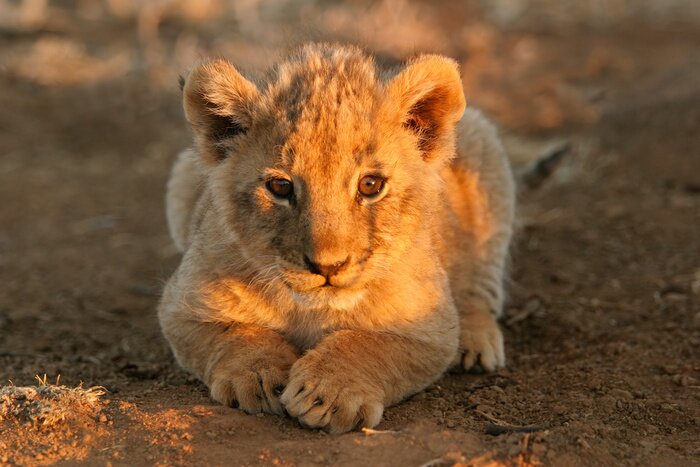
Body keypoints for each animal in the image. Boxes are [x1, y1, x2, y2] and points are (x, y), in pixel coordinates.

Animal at [159, 43, 515, 433]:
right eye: (280, 186)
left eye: (370, 185)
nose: (328, 266)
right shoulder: (182, 307)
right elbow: (236, 333)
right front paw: (258, 376)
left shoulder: (432, 331)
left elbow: (370, 343)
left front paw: (329, 393)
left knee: (480, 284)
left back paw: (476, 341)